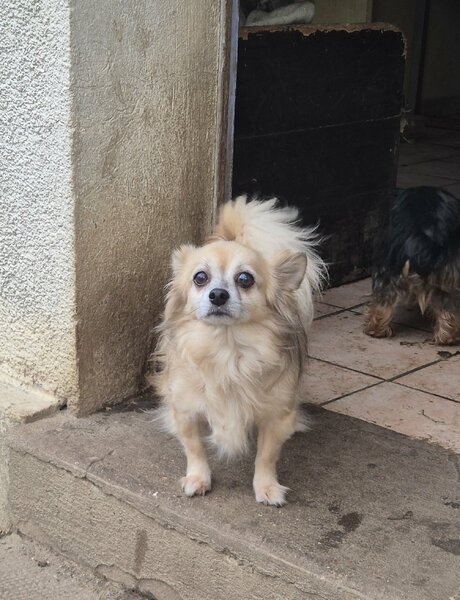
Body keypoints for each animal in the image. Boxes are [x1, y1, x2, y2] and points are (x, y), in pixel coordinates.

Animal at [150, 196, 325, 506]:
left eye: (245, 279)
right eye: (200, 278)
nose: (218, 294)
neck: (226, 349)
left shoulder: (274, 416)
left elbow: (266, 456)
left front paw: (266, 486)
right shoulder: (186, 410)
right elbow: (194, 447)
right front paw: (198, 477)